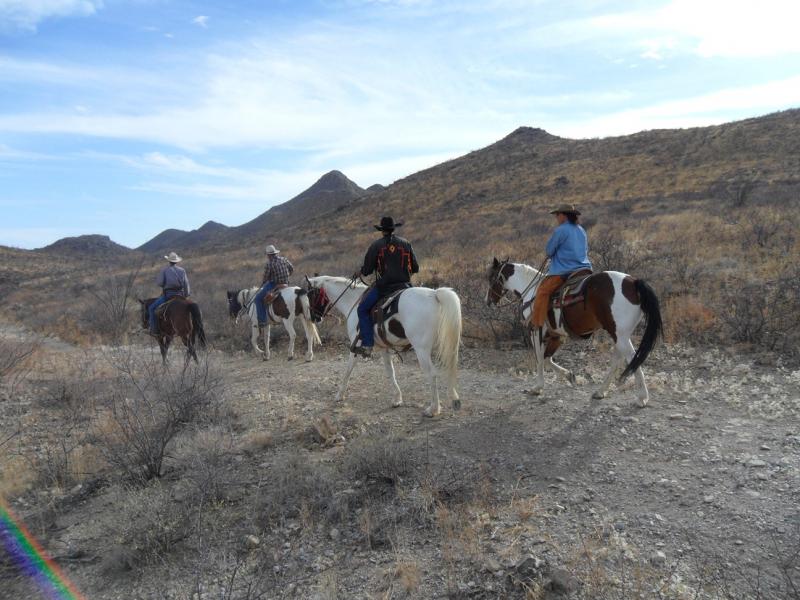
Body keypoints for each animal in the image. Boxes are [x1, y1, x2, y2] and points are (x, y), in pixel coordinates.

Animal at [306, 276, 462, 417]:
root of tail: (434, 294)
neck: (353, 301)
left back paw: (433, 409)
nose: (314, 318)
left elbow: (348, 371)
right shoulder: (384, 348)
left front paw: (339, 395)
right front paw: (397, 399)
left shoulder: (355, 347)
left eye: (311, 295)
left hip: (421, 350)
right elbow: (390, 372)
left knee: (432, 374)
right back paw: (453, 399)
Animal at [486, 258, 662, 406]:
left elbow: (540, 358)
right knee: (618, 359)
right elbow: (547, 358)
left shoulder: (536, 331)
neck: (531, 291)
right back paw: (601, 391)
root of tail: (633, 282)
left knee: (632, 357)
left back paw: (642, 397)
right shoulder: (556, 335)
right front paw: (569, 375)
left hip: (620, 334)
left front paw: (538, 387)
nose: (488, 301)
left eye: (491, 278)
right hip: (618, 334)